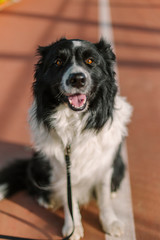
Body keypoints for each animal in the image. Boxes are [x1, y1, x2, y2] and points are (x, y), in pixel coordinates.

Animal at [0, 38, 132, 239]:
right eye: (58, 62)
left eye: (90, 61)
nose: (77, 79)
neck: (74, 124)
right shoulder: (61, 167)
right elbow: (69, 199)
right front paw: (73, 228)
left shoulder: (104, 163)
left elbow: (103, 197)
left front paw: (110, 222)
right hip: (40, 161)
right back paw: (47, 200)